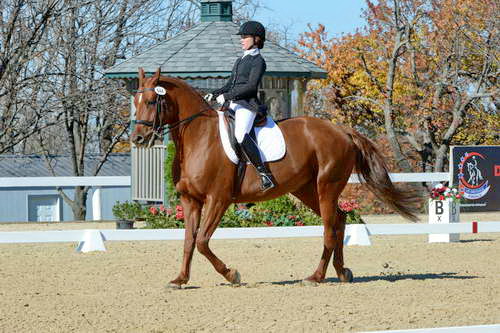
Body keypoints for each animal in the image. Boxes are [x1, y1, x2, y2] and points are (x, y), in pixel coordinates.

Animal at [130, 68, 418, 288]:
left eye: (152, 102)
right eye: (135, 102)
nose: (138, 139)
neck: (198, 138)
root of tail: (342, 130)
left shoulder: (218, 199)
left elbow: (201, 242)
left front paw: (232, 275)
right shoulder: (190, 200)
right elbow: (189, 242)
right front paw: (179, 280)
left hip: (326, 186)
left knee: (329, 228)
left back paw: (315, 277)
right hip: (306, 190)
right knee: (339, 219)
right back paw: (341, 272)